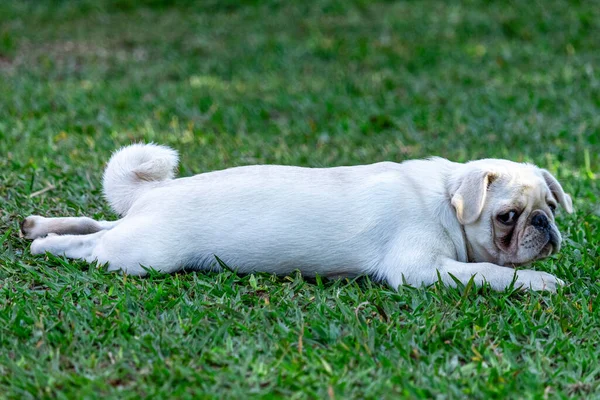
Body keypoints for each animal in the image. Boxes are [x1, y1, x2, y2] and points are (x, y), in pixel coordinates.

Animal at [19, 143, 572, 290]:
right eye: (508, 217)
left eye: (549, 206)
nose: (543, 227)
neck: (446, 199)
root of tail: (155, 194)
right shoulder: (422, 269)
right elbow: (490, 273)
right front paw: (541, 282)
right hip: (142, 255)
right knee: (93, 247)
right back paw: (46, 245)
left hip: (133, 234)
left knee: (97, 226)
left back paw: (40, 225)